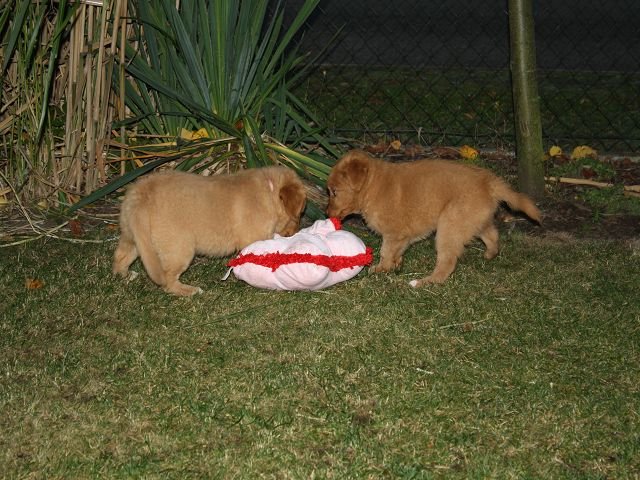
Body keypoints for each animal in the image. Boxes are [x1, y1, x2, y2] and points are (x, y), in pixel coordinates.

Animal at [113, 166, 306, 296]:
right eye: (299, 215)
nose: (296, 232)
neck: (269, 190)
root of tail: (141, 194)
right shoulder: (253, 237)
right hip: (179, 248)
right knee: (168, 280)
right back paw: (188, 290)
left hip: (133, 237)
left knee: (120, 256)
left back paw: (125, 275)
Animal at [326, 150, 541, 286]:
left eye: (334, 192)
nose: (327, 214)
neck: (373, 187)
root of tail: (488, 182)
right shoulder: (402, 236)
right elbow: (396, 251)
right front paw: (396, 264)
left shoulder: (394, 233)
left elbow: (386, 251)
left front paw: (381, 268)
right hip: (472, 219)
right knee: (492, 235)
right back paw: (490, 254)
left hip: (449, 226)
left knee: (447, 263)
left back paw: (423, 282)